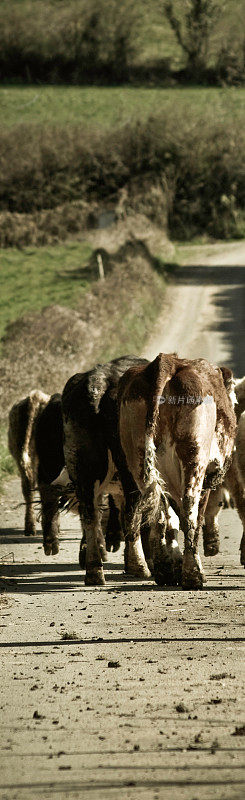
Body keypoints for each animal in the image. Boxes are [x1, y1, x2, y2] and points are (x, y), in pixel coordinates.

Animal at [117, 354, 236, 592]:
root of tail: (165, 362)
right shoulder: (208, 476)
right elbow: (196, 516)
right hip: (194, 455)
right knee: (190, 510)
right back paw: (193, 575)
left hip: (138, 460)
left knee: (160, 515)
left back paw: (166, 570)